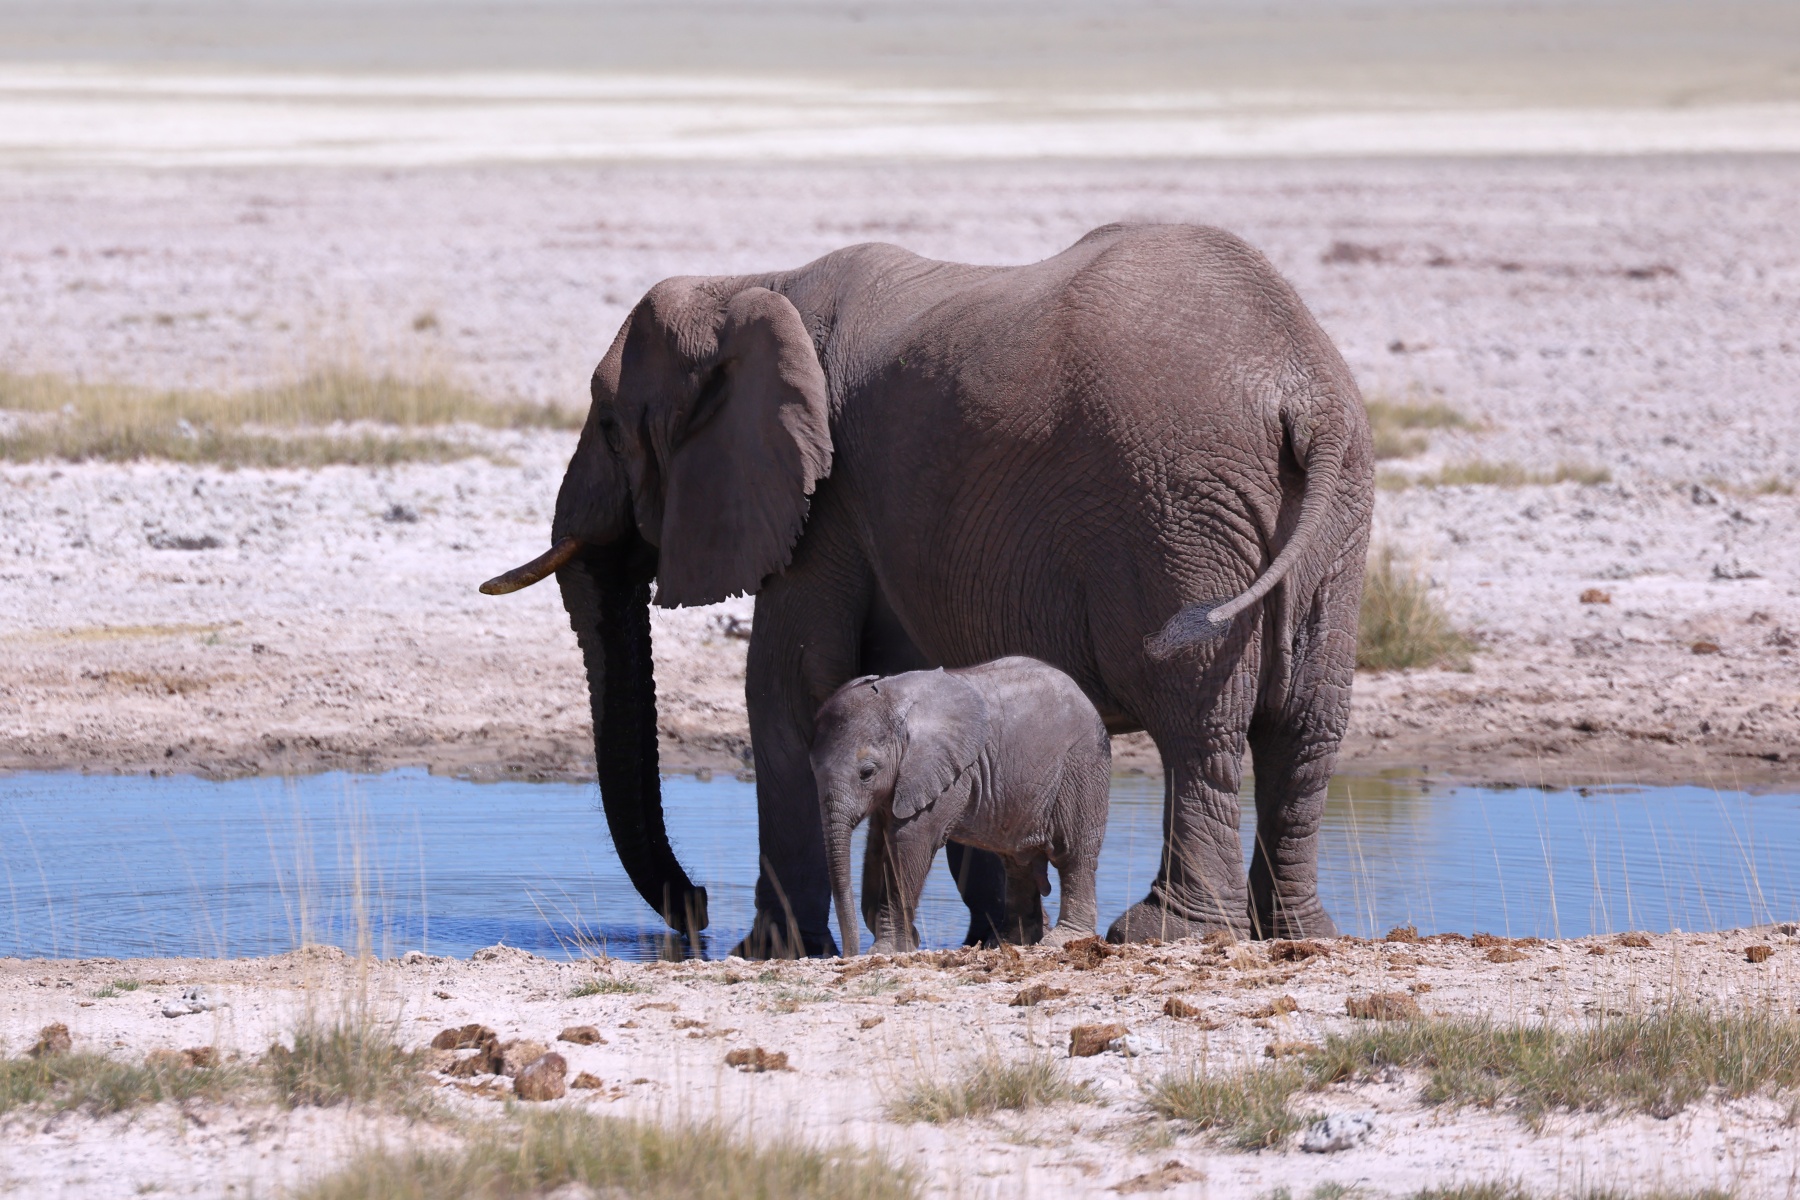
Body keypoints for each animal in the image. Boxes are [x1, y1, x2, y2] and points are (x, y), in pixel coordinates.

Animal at [810, 658, 1112, 955]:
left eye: (867, 773)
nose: (848, 953)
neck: (896, 701)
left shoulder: (945, 776)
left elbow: (907, 845)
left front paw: (885, 951)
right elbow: (877, 846)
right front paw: (903, 942)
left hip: (1081, 764)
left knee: (1072, 854)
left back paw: (1061, 939)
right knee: (1017, 862)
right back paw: (1007, 943)